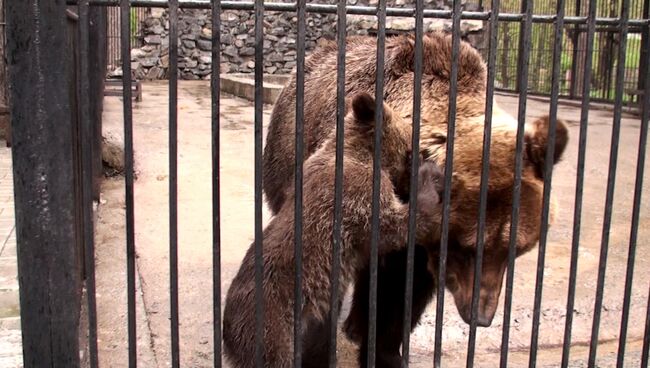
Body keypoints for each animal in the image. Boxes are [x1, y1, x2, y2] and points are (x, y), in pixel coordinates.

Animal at [224, 92, 446, 368]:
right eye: (411, 148)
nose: (424, 154)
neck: (359, 153)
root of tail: (227, 334)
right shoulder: (358, 197)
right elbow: (393, 227)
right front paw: (431, 177)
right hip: (272, 331)